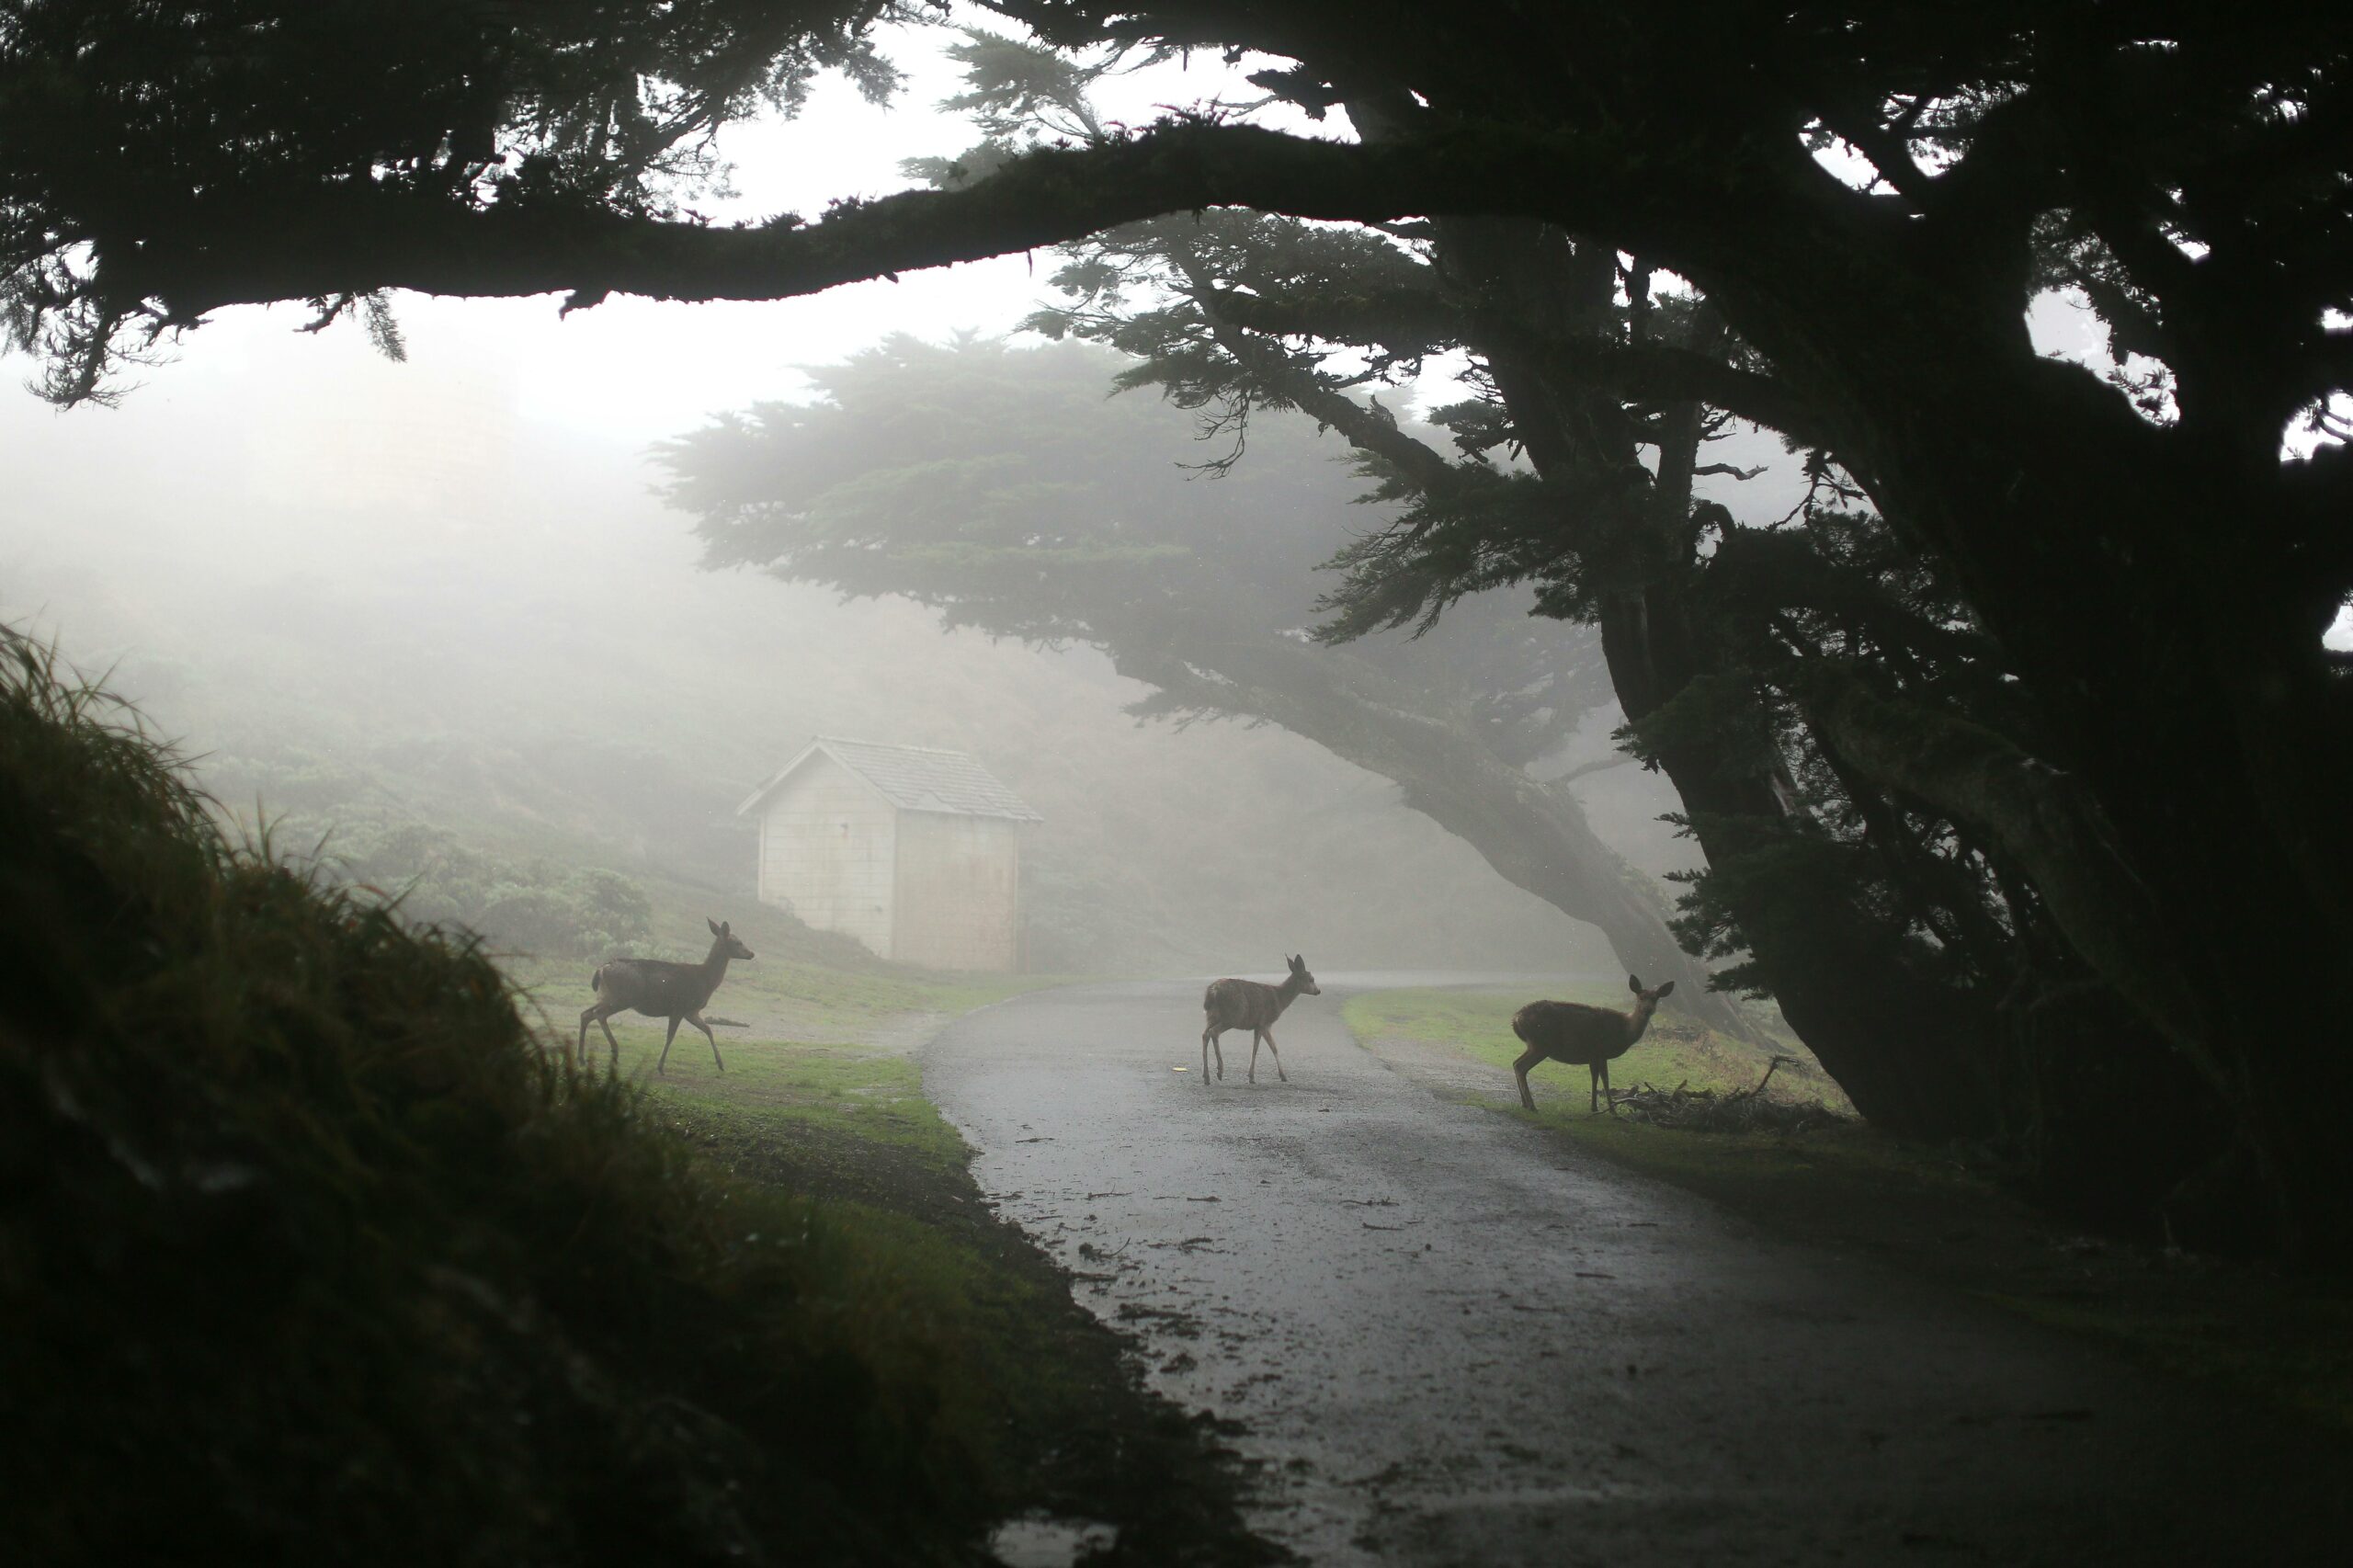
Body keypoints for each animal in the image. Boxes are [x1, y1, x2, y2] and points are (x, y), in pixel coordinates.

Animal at [578, 918, 753, 1074]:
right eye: (738, 942)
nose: (751, 953)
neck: (706, 981)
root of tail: (601, 970)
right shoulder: (679, 1007)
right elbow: (670, 1036)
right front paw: (660, 1066)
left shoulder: (691, 1011)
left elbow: (708, 1029)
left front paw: (721, 1063)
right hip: (622, 997)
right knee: (598, 1013)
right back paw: (614, 1050)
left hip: (607, 995)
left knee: (586, 1013)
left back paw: (582, 1058)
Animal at [1195, 950, 1326, 1074]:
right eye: (1311, 979)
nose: (1318, 991)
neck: (1279, 999)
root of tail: (1212, 992)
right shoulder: (1265, 1022)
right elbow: (1271, 1047)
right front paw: (1281, 1075)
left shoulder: (1258, 1025)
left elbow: (1257, 1048)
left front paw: (1252, 1076)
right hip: (1232, 1016)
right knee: (1214, 1032)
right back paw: (1220, 1070)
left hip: (1212, 1015)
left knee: (1205, 1034)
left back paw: (1206, 1075)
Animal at [1506, 979, 1675, 1111]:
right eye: (1640, 997)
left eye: (1655, 998)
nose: (1647, 1010)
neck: (1624, 1029)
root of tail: (1515, 1020)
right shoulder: (1601, 1050)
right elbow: (1605, 1079)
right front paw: (1611, 1110)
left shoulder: (1594, 1055)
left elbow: (1595, 1077)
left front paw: (1595, 1107)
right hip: (1541, 1044)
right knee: (1521, 1066)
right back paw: (1532, 1106)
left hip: (1534, 1044)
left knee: (1515, 1063)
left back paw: (1524, 1103)